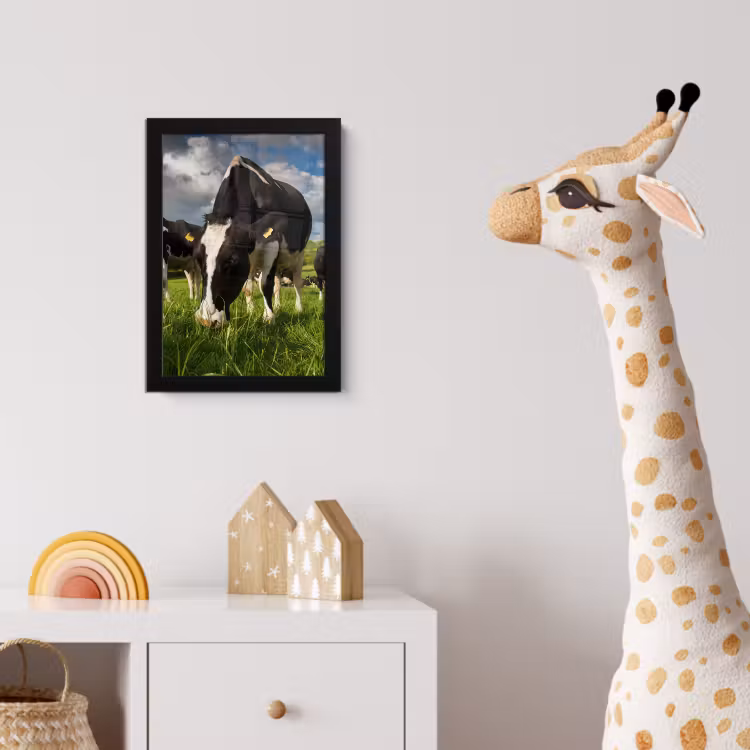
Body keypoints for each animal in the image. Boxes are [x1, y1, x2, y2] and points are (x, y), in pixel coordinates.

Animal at [195, 156, 312, 327]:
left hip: (299, 255)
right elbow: (248, 288)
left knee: (297, 282)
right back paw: (278, 305)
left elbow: (265, 284)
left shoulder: (271, 243)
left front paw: (269, 318)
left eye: (232, 260)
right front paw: (251, 312)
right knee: (277, 283)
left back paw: (299, 308)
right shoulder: (249, 257)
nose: (206, 320)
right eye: (198, 258)